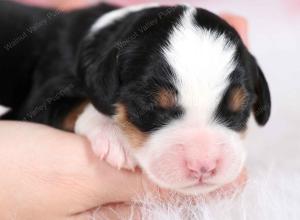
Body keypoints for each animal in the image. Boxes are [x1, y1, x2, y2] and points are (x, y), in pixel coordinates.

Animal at [0, 1, 270, 194]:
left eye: (240, 109)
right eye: (148, 106)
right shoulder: (39, 100)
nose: (203, 167)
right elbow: (81, 103)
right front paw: (114, 135)